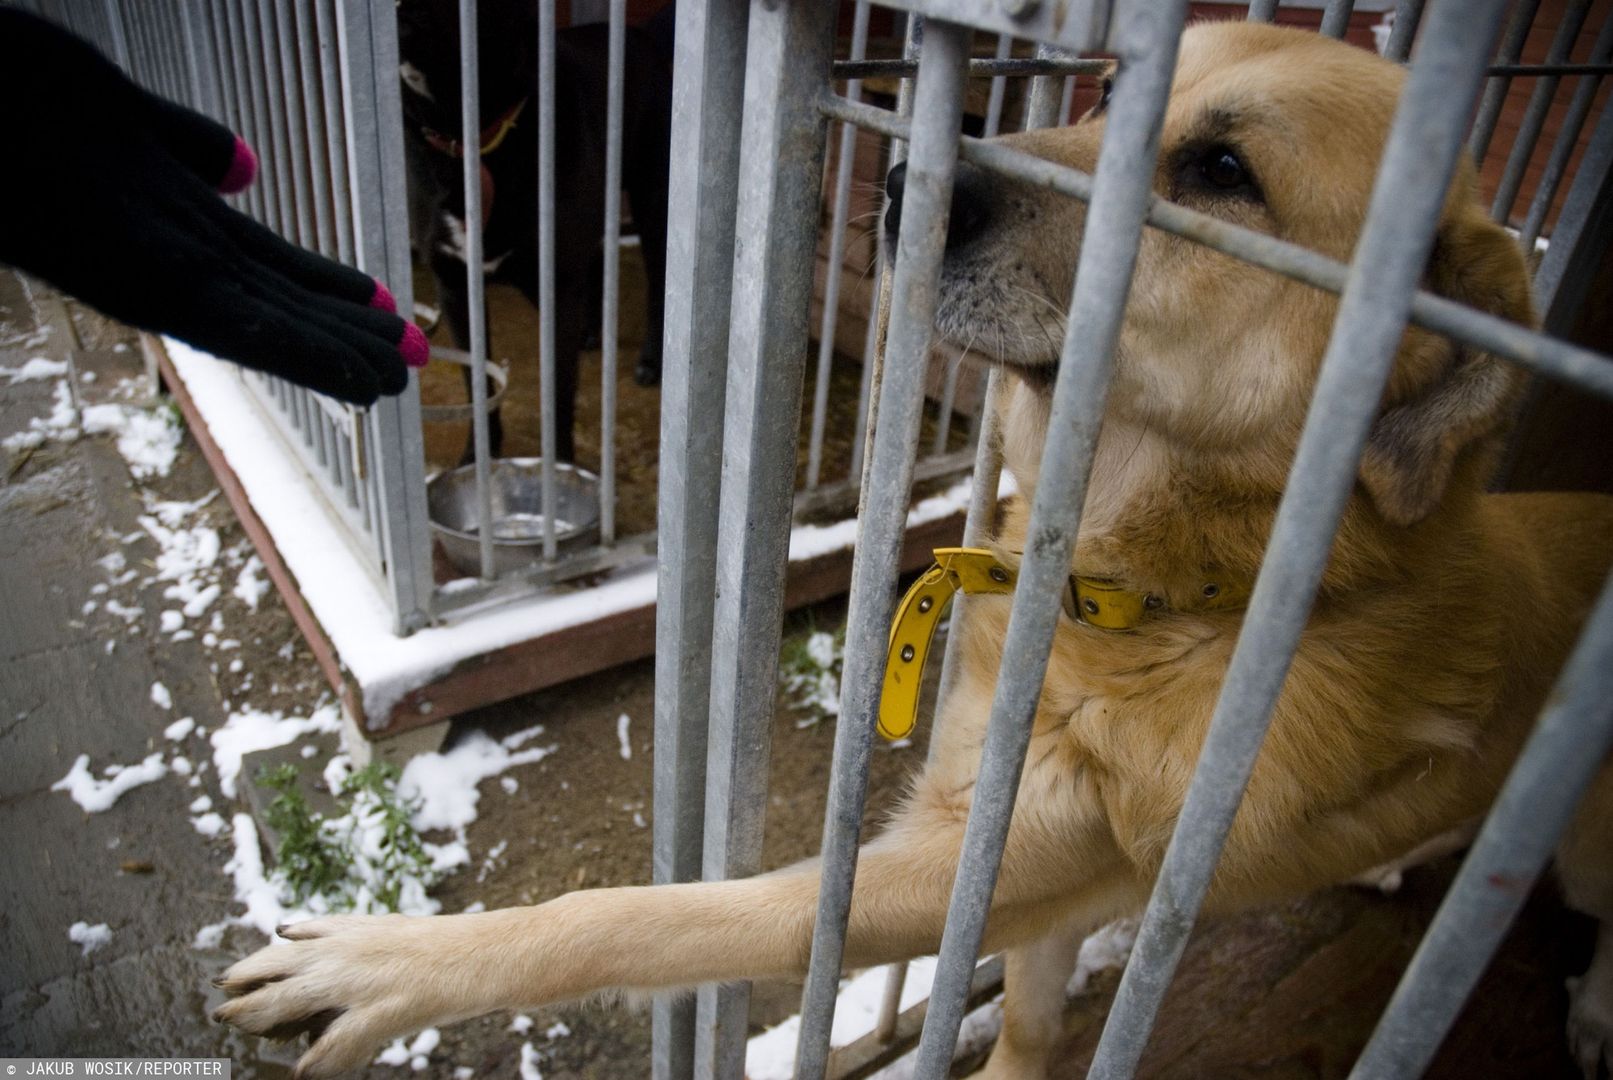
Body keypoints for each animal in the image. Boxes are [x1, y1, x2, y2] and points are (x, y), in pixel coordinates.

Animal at [398, 0, 674, 464]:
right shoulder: (454, 287)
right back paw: (591, 330)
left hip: (653, 200)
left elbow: (559, 395)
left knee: (658, 284)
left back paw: (651, 360)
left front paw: (558, 467)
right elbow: (478, 384)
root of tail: (644, 37)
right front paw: (478, 458)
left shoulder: (556, 290)